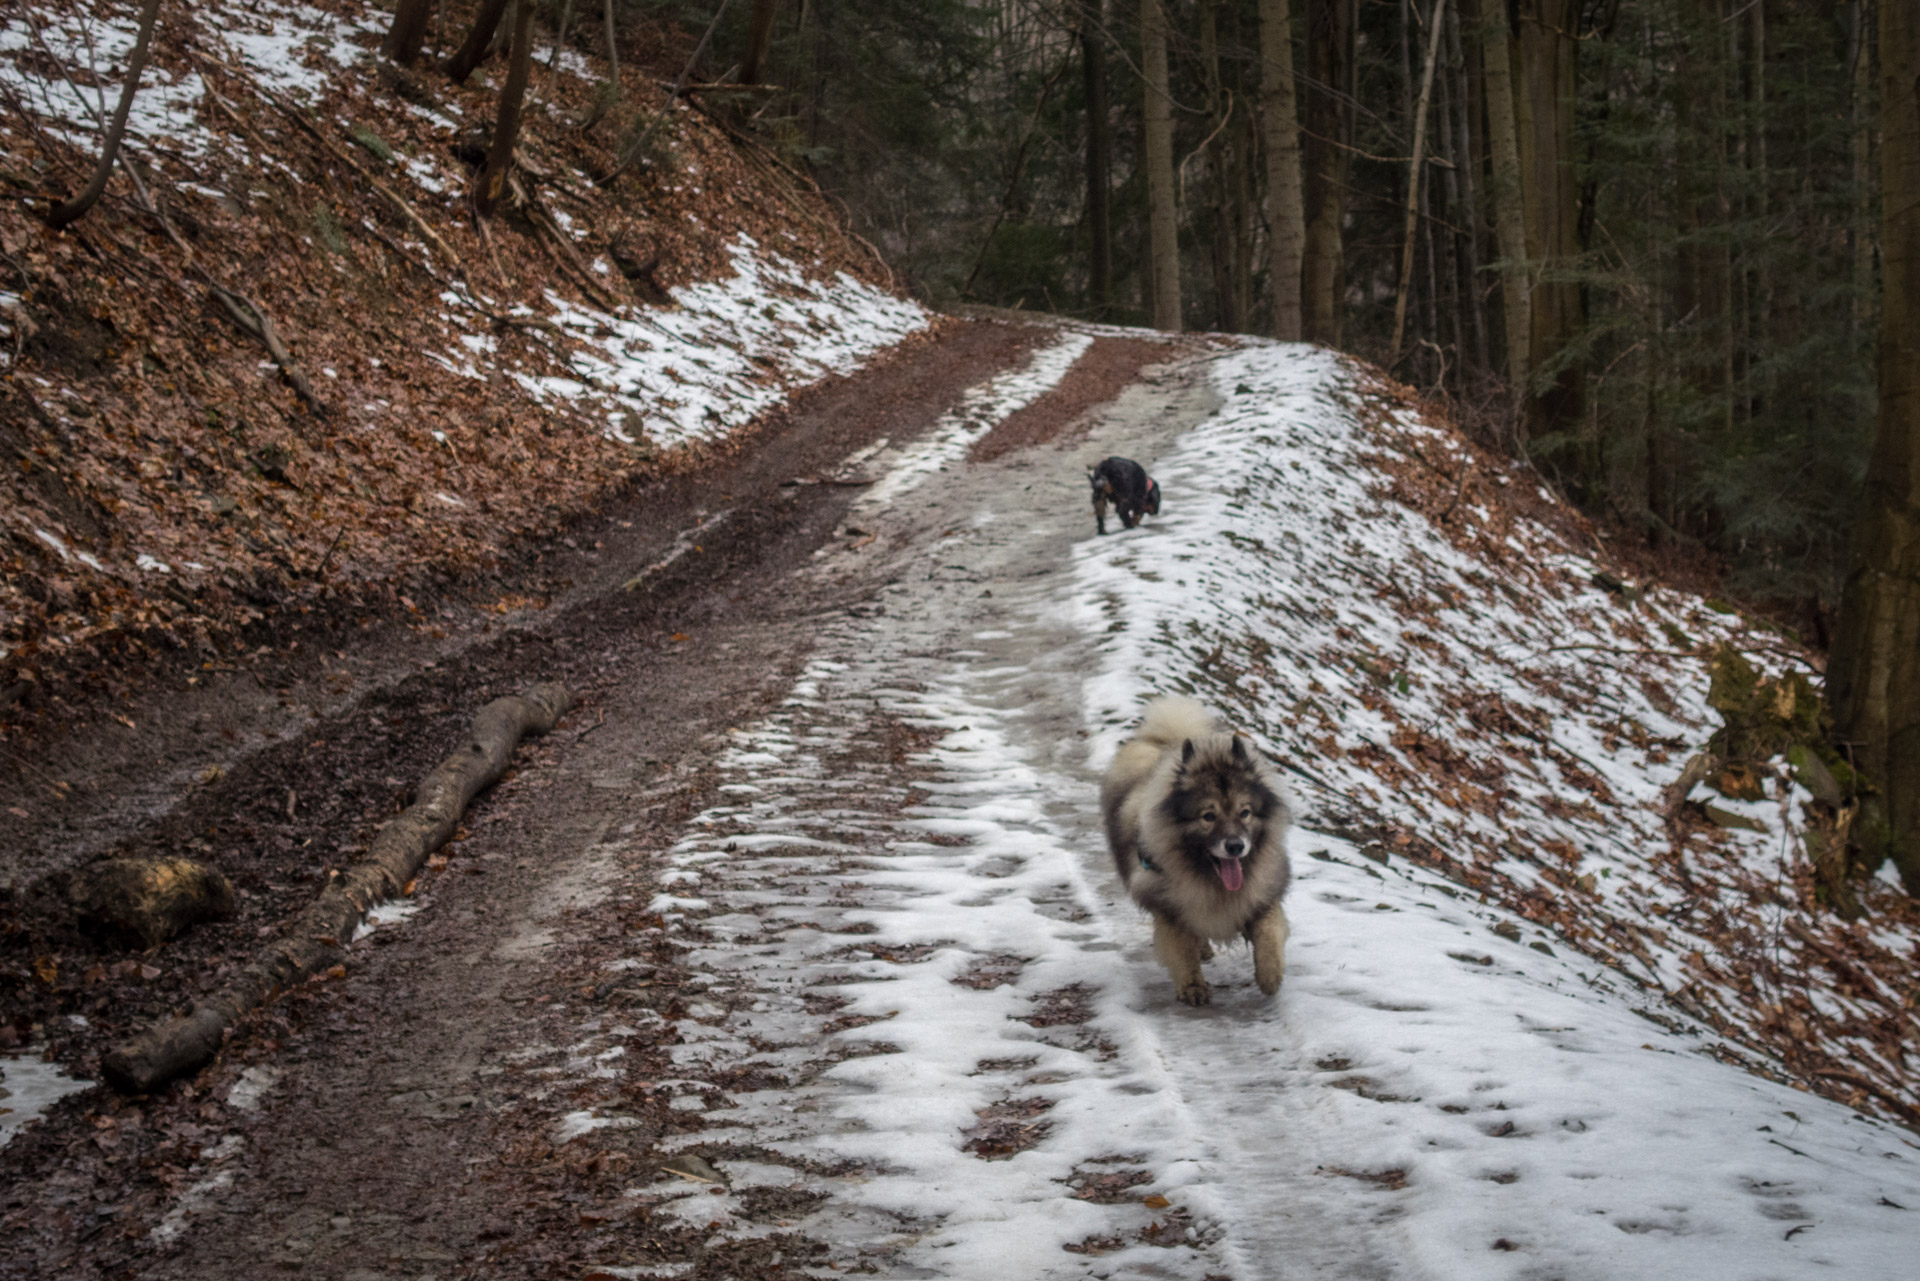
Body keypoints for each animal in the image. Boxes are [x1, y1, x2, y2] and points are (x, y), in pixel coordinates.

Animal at [1105, 695, 1297, 1006]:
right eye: (1208, 816)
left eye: (1245, 812)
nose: (1235, 846)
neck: (1213, 881)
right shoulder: (1169, 906)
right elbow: (1182, 949)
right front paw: (1192, 987)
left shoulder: (1262, 895)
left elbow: (1268, 937)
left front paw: (1270, 978)